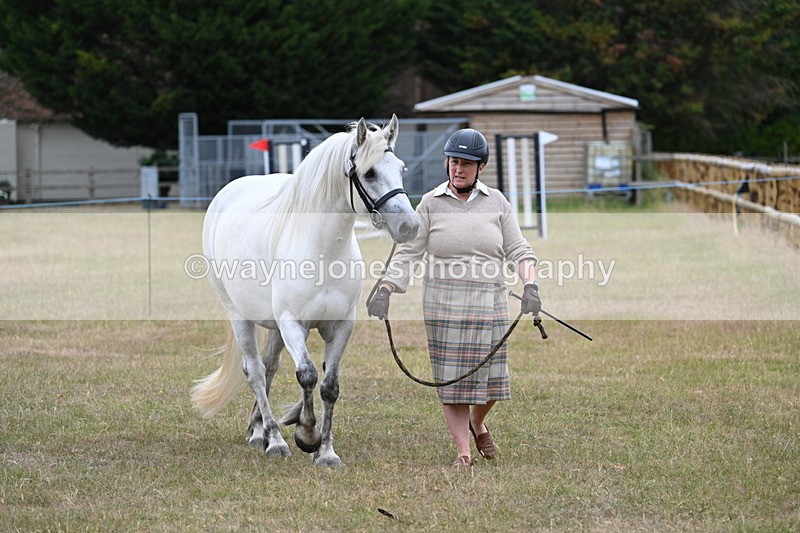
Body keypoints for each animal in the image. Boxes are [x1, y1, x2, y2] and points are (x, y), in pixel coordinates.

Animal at [191, 114, 419, 466]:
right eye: (369, 173)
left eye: (401, 168)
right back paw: (273, 440)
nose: (409, 226)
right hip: (239, 315)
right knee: (255, 371)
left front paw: (326, 452)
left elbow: (329, 386)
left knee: (269, 368)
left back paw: (258, 430)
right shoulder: (292, 324)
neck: (324, 251)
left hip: (272, 326)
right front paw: (306, 434)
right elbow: (308, 375)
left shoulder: (341, 326)